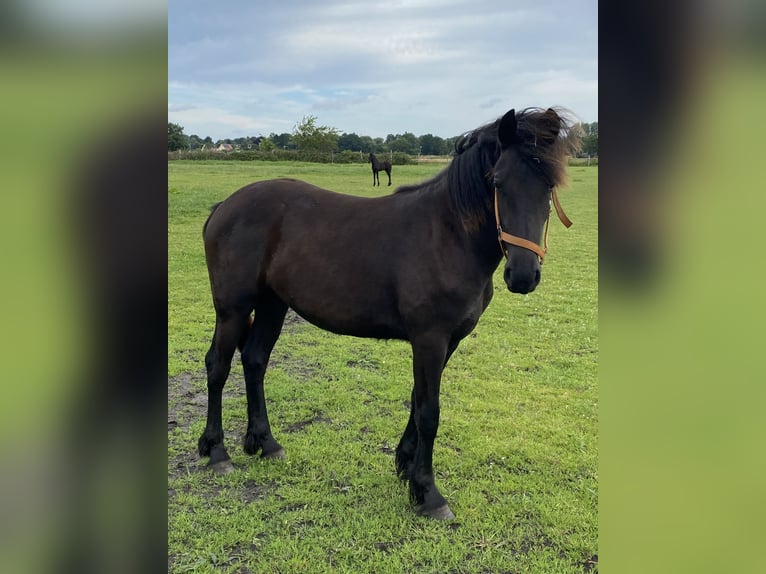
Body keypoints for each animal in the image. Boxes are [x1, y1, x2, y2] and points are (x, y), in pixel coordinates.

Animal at [201, 108, 580, 520]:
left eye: (549, 185)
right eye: (497, 180)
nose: (523, 276)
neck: (447, 236)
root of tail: (224, 206)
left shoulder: (447, 341)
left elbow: (417, 401)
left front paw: (406, 467)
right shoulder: (429, 338)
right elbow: (429, 411)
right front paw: (429, 493)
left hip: (273, 303)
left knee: (255, 360)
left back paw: (266, 443)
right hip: (233, 307)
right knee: (218, 365)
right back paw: (217, 453)